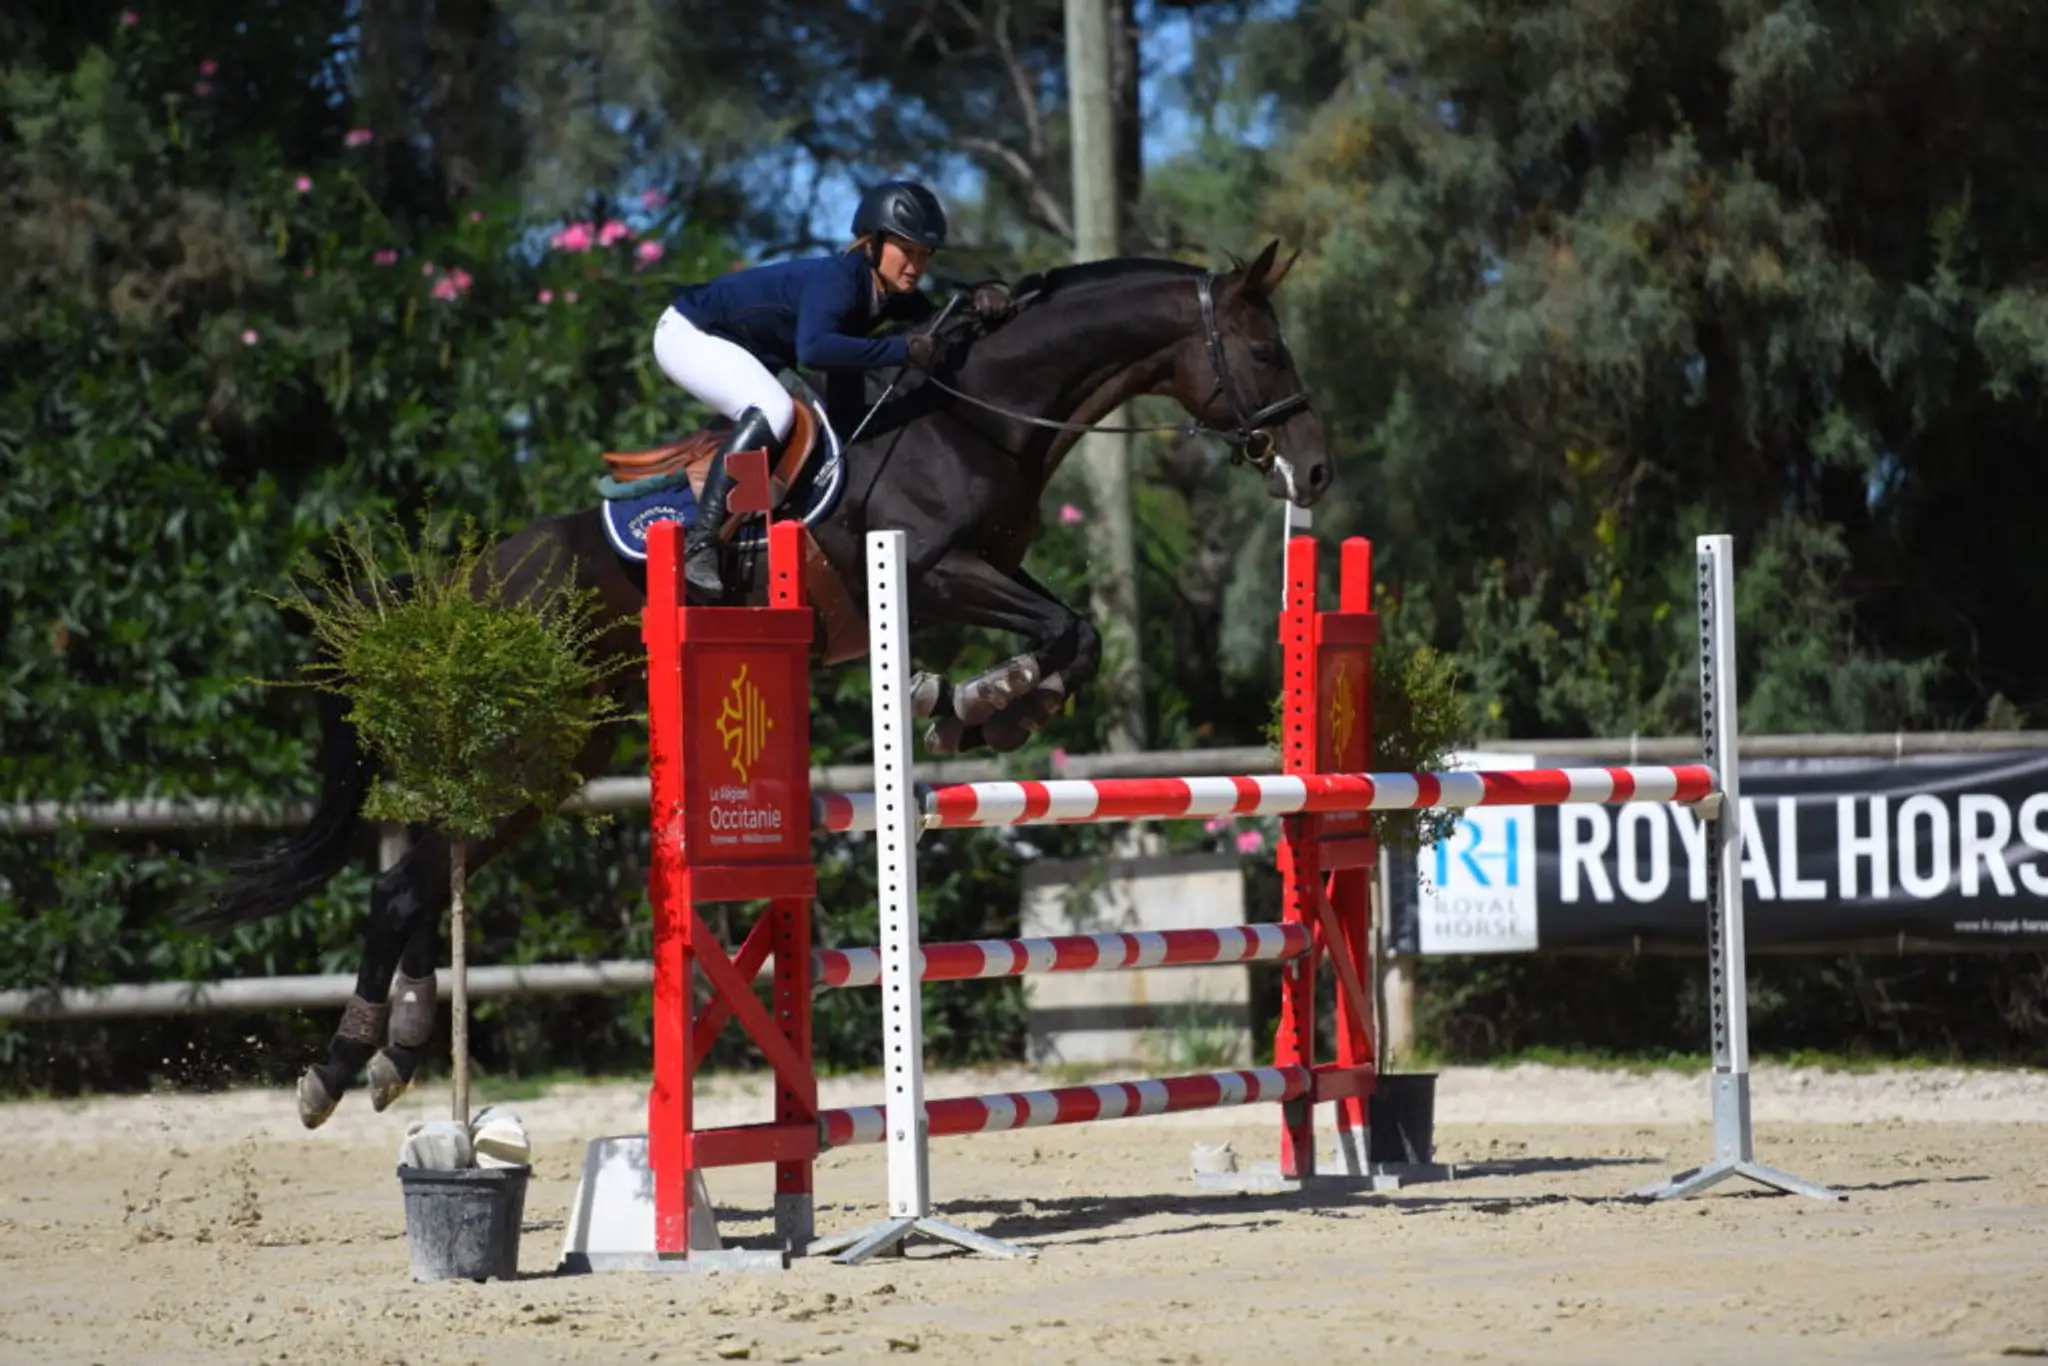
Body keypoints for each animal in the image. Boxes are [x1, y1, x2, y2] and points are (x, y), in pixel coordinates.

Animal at [199, 241, 1331, 1128]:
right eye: (1263, 350)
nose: (1312, 471)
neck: (972, 416)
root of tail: (461, 586)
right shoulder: (932, 570)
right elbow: (1066, 628)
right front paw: (978, 700)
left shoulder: (979, 574)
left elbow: (1075, 635)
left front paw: (983, 706)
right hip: (530, 747)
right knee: (406, 881)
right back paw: (338, 1065)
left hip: (556, 755)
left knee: (433, 871)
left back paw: (396, 1048)